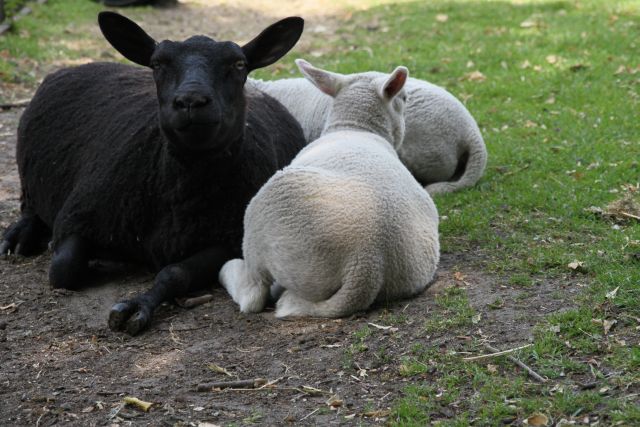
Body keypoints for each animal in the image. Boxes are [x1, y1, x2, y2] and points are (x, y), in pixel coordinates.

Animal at [0, 11, 306, 336]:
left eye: (238, 64)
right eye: (157, 63)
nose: (191, 101)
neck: (179, 193)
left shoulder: (229, 240)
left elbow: (174, 273)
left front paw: (138, 306)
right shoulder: (79, 215)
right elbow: (64, 268)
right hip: (28, 179)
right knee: (30, 207)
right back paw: (19, 236)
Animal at [220, 58, 440, 318]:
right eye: (405, 98)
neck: (354, 128)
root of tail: (366, 263)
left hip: (264, 221)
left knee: (253, 294)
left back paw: (231, 272)